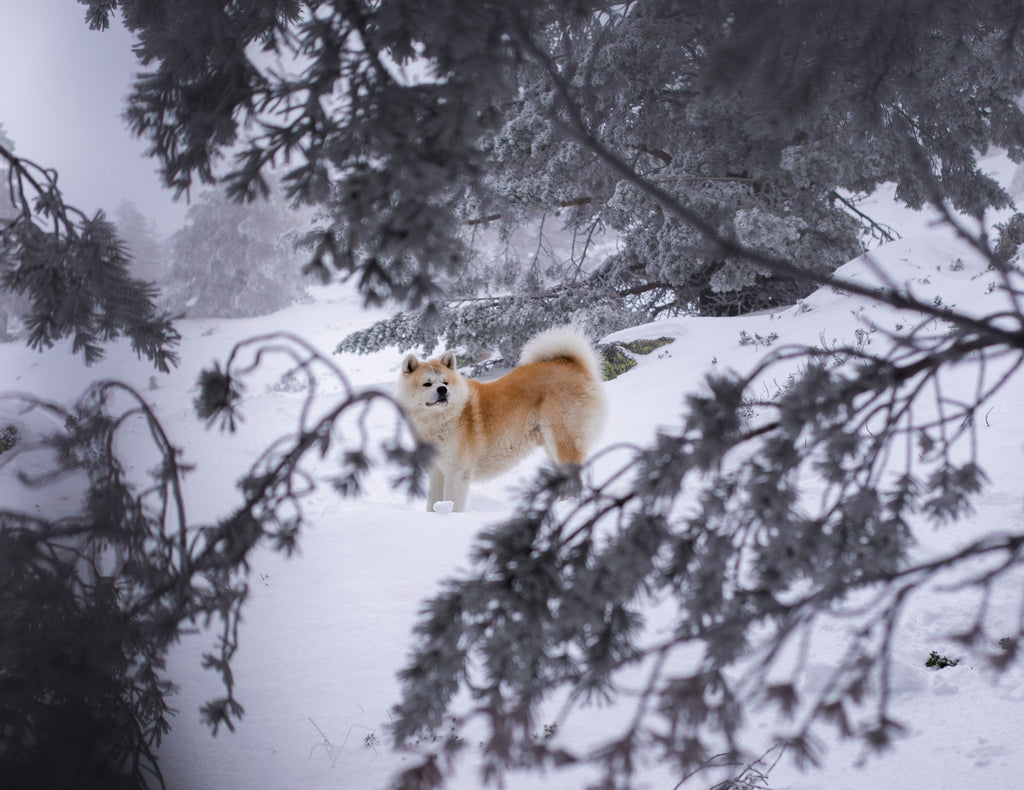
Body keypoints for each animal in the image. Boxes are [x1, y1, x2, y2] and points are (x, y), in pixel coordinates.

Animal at [397, 325, 606, 512]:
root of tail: (572, 365)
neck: (440, 420)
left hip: (564, 441)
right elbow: (433, 505)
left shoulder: (456, 473)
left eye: (445, 382)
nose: (442, 390)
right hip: (551, 447)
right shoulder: (437, 472)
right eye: (427, 384)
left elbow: (453, 504)